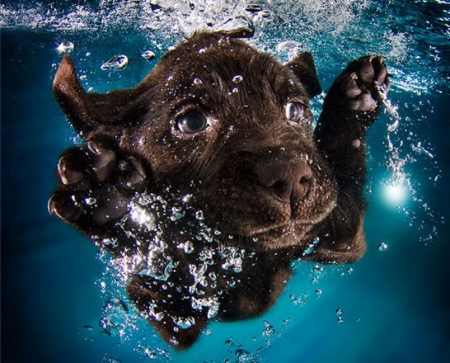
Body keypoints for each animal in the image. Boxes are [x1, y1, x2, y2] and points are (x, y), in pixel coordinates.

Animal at [47, 32, 388, 352]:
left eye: (295, 109)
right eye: (192, 122)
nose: (291, 177)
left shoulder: (342, 238)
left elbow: (344, 169)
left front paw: (355, 97)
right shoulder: (177, 316)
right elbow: (165, 271)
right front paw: (111, 204)